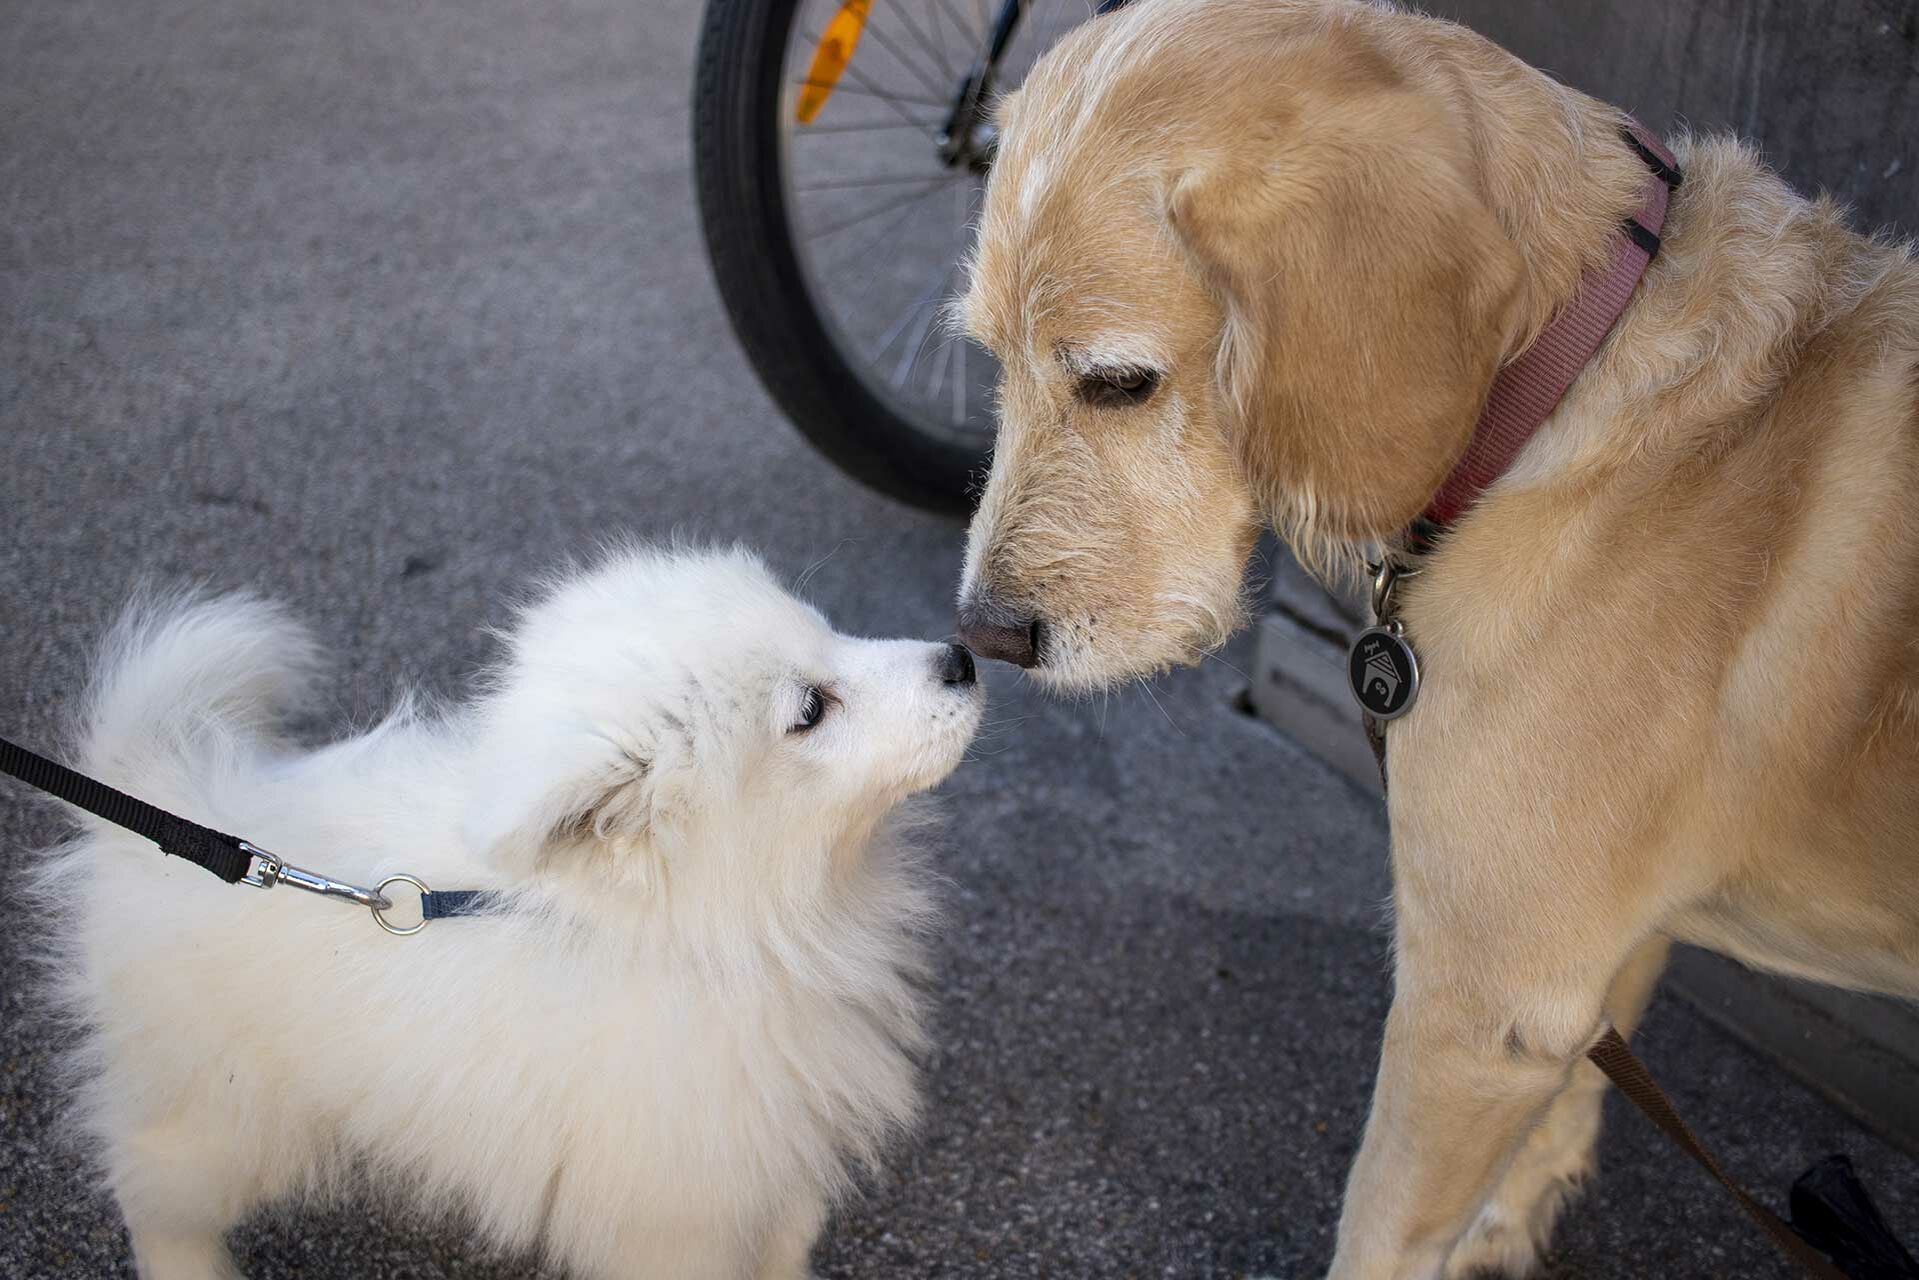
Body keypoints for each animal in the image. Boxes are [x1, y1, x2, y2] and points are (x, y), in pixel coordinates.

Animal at [26, 545, 990, 1280]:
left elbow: (787, 1246)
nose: (962, 659)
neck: (702, 932)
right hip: (229, 1114)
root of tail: (164, 799)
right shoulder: (676, 1205)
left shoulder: (764, 1166)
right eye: (810, 710)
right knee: (151, 1186)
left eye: (829, 628)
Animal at [951, 2, 1919, 1280]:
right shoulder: (1576, 969)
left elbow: (1380, 1230)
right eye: (989, 360)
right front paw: (1509, 1221)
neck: (1562, 380)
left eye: (1117, 381)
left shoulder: (1478, 1006)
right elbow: (1565, 1104)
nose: (981, 633)